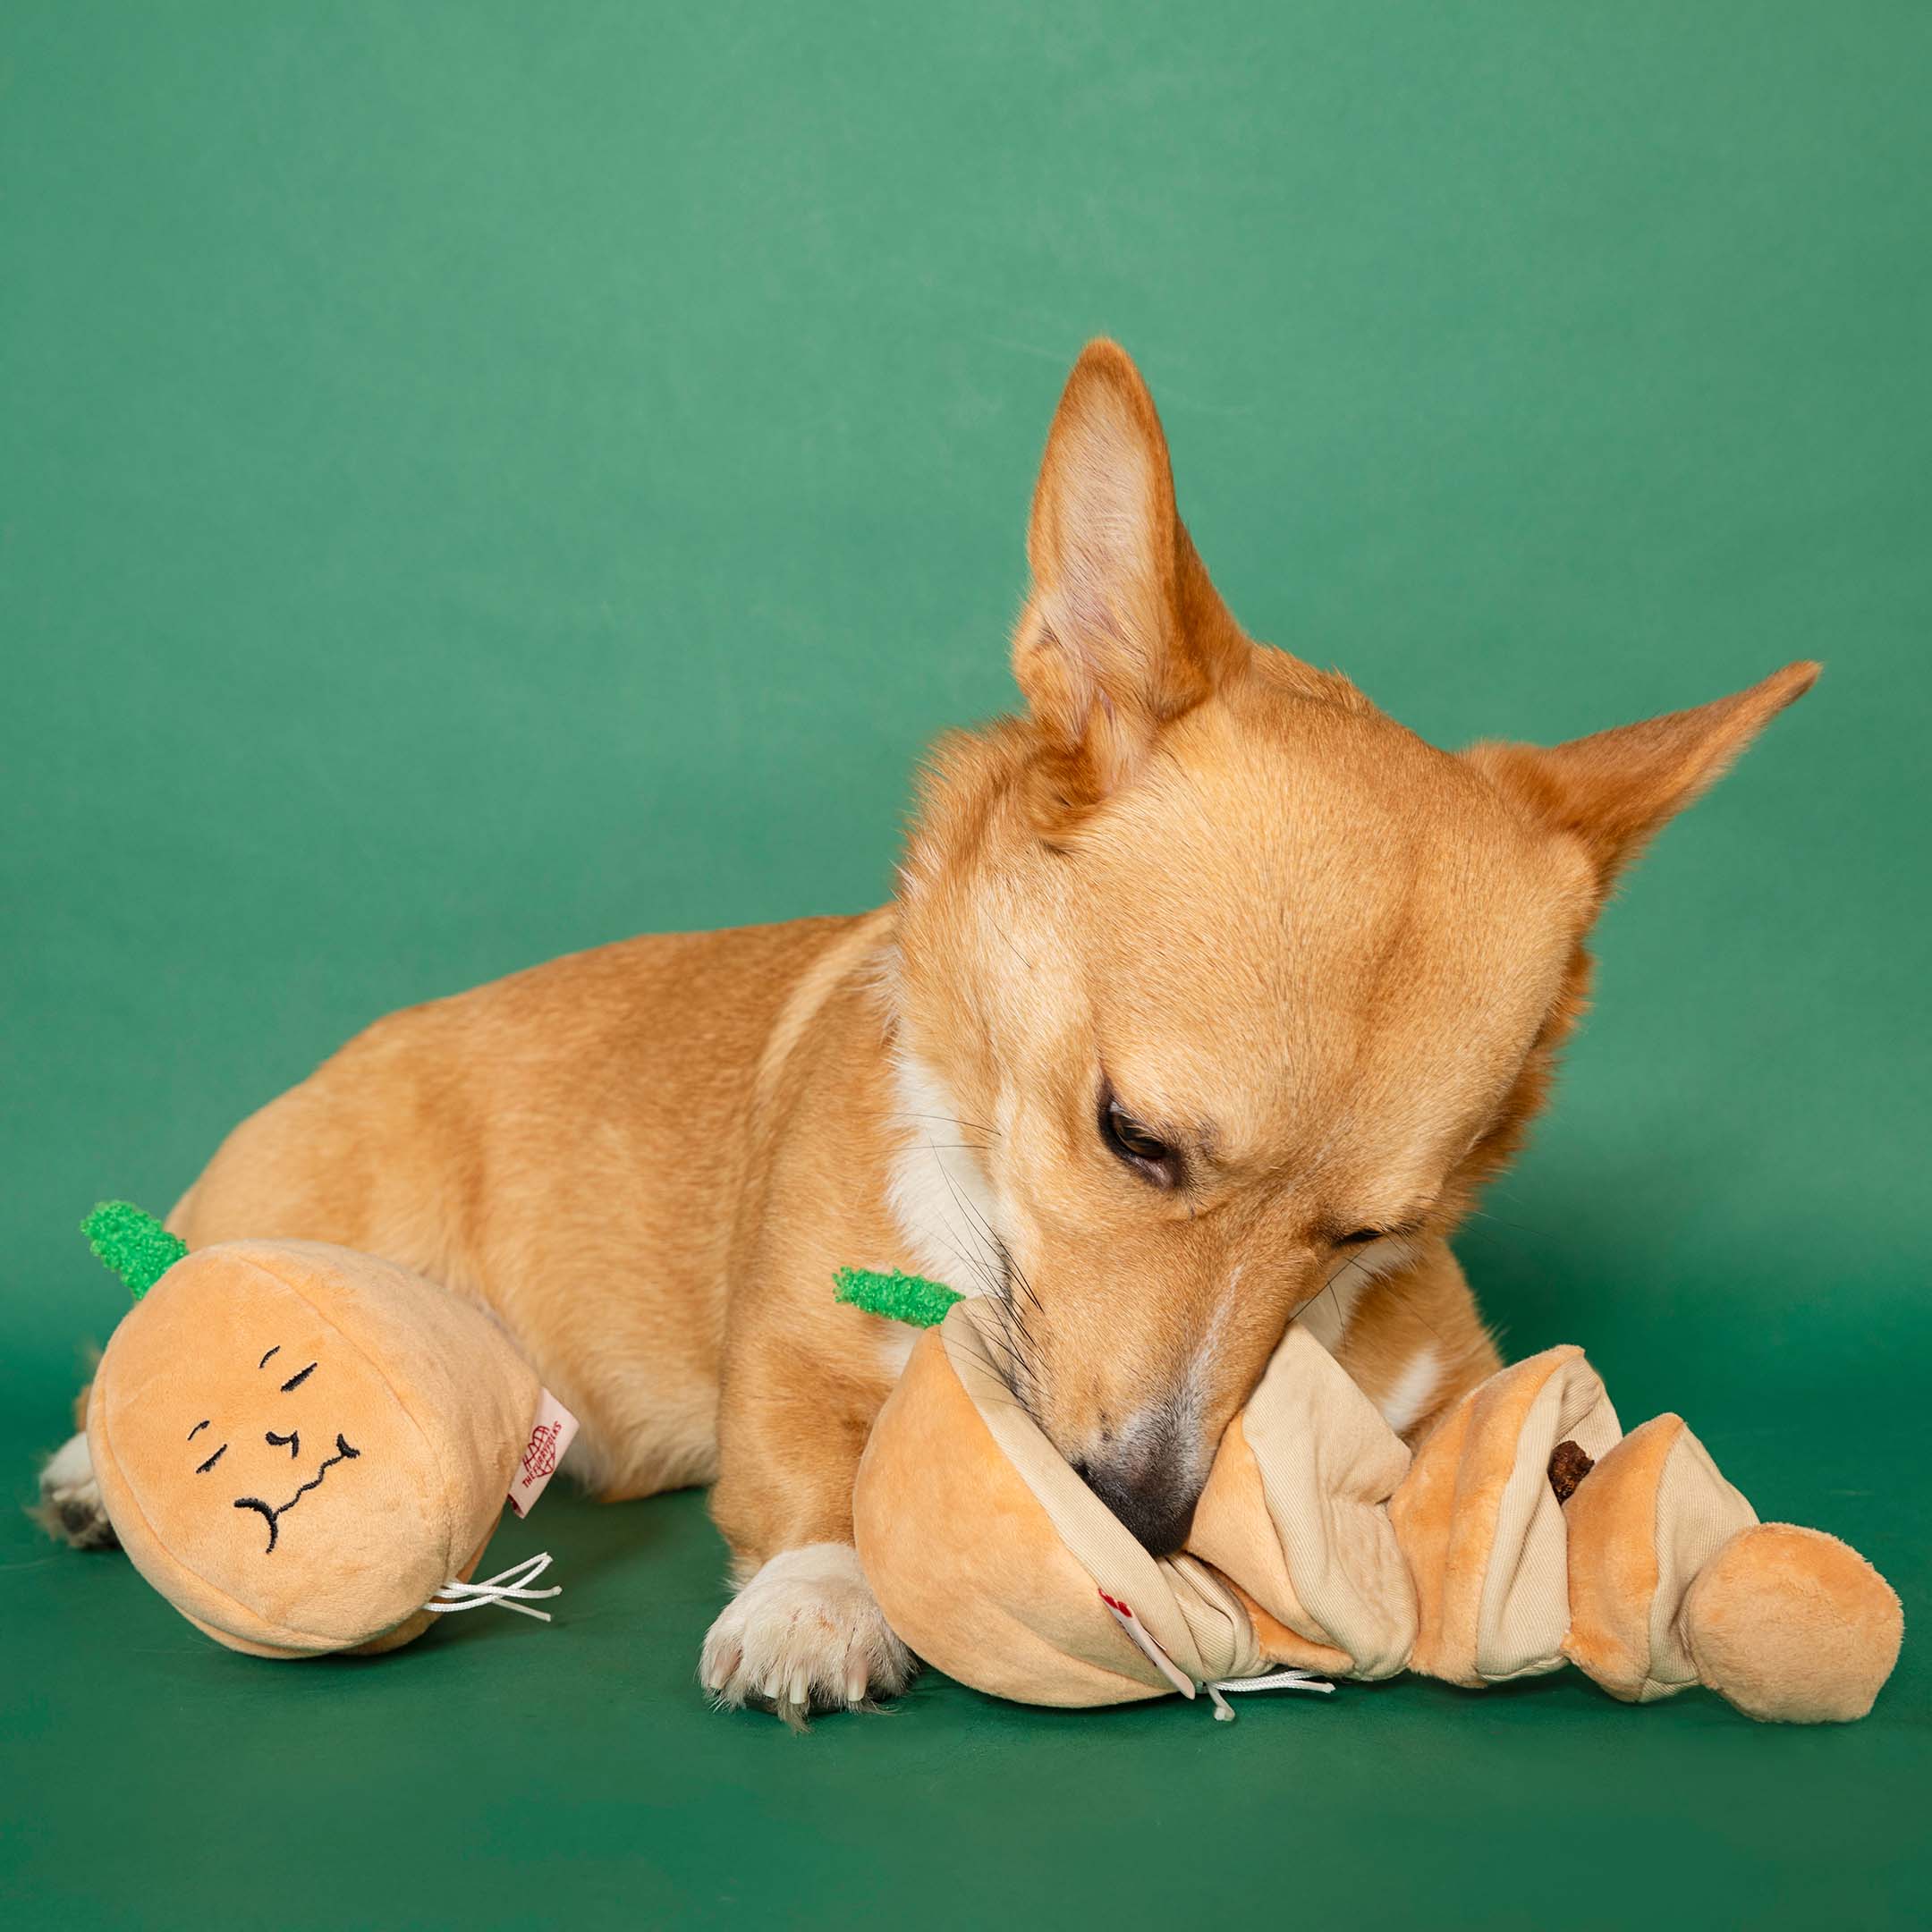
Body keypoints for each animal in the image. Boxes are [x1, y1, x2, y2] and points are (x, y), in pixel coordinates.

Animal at [48, 347, 1824, 1723]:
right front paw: (820, 1605)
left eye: (1371, 1234)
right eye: (1133, 1138)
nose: (1141, 1513)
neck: (985, 1228)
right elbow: (815, 1480)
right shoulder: (787, 1361)